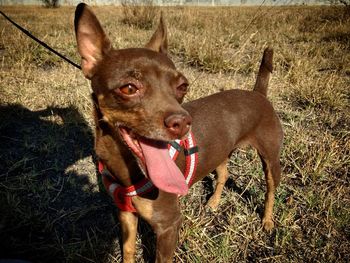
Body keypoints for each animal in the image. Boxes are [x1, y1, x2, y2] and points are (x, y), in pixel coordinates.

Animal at [74, 3, 284, 262]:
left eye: (183, 86)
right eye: (129, 88)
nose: (183, 123)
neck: (124, 164)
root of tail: (258, 94)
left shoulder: (168, 225)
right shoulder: (126, 214)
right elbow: (128, 251)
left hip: (271, 160)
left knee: (271, 190)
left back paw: (267, 220)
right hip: (221, 150)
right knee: (223, 174)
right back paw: (214, 202)